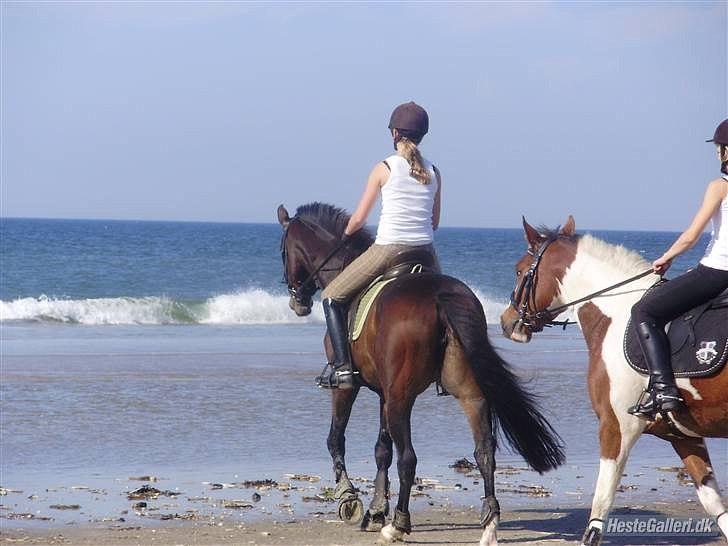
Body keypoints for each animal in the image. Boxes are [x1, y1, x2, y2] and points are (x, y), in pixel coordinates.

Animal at [276, 202, 564, 540]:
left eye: (283, 251)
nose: (298, 303)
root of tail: (439, 296)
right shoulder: (384, 393)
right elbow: (382, 450)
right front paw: (375, 511)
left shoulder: (350, 388)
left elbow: (337, 439)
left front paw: (350, 500)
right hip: (466, 393)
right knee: (484, 451)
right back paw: (489, 522)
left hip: (402, 398)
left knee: (409, 458)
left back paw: (399, 524)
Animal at [500, 215, 728, 540]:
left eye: (519, 270)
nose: (506, 322)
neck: (617, 313)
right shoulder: (684, 434)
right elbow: (714, 504)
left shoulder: (616, 427)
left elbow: (601, 504)